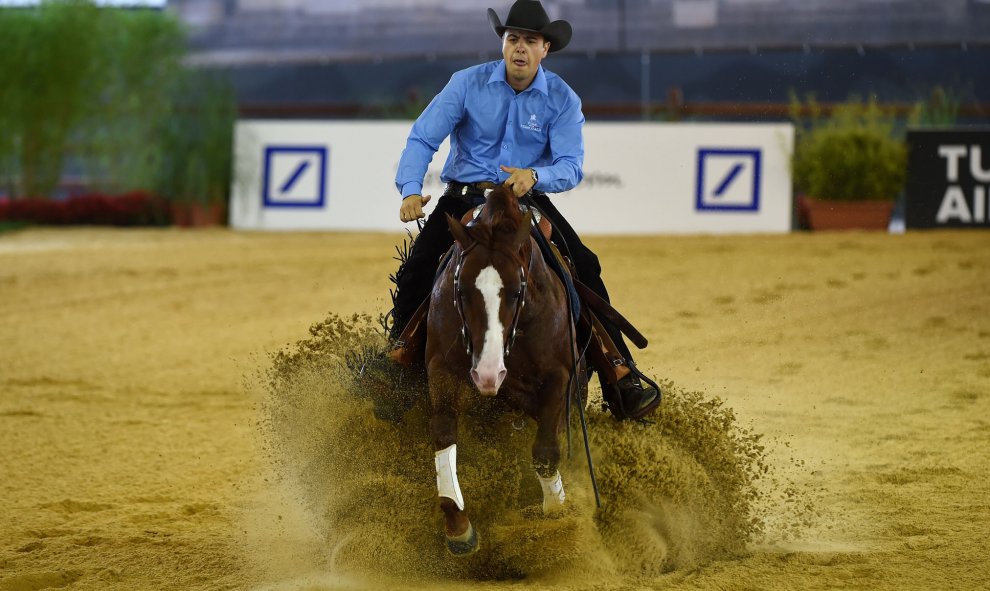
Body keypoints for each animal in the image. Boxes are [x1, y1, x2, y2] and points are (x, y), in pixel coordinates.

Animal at [424, 185, 576, 556]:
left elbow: (546, 451)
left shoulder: (559, 377)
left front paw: (557, 521)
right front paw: (458, 526)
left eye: (518, 290)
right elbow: (443, 435)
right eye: (461, 290)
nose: (488, 375)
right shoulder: (441, 369)